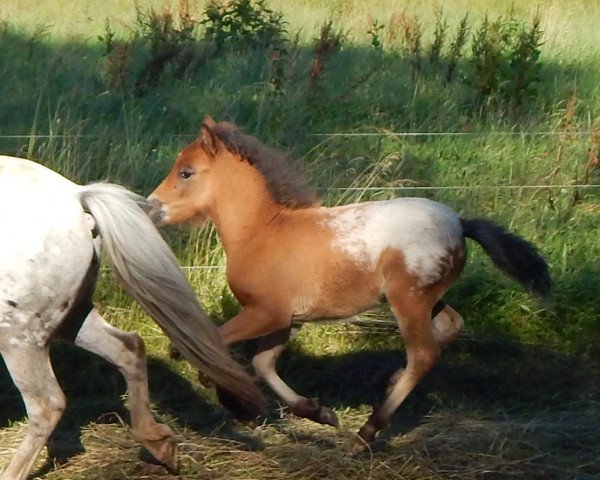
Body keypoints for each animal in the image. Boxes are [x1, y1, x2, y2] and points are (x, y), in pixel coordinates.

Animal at [148, 118, 552, 444]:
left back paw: (369, 430)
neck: (262, 232)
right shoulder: (288, 319)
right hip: (429, 298)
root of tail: (459, 224)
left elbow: (211, 345)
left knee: (423, 353)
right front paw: (318, 412)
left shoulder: (267, 312)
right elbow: (263, 363)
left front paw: (234, 401)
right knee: (451, 325)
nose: (151, 208)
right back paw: (390, 382)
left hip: (408, 300)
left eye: (186, 172)